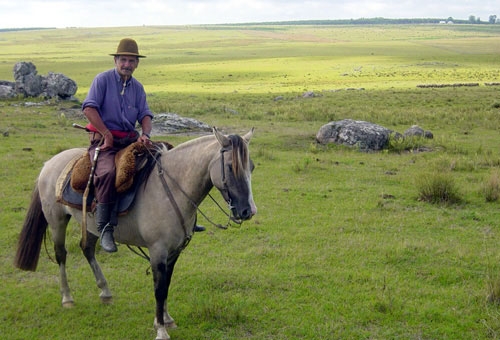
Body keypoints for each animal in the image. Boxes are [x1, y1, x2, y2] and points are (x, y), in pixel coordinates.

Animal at [14, 127, 258, 340]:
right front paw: (161, 330)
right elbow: (159, 289)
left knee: (87, 249)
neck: (172, 188)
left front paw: (166, 319)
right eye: (231, 166)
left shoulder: (173, 252)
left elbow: (166, 285)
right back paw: (67, 297)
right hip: (56, 221)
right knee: (61, 255)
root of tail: (50, 163)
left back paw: (105, 291)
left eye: (252, 167)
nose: (248, 211)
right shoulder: (158, 251)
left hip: (90, 224)